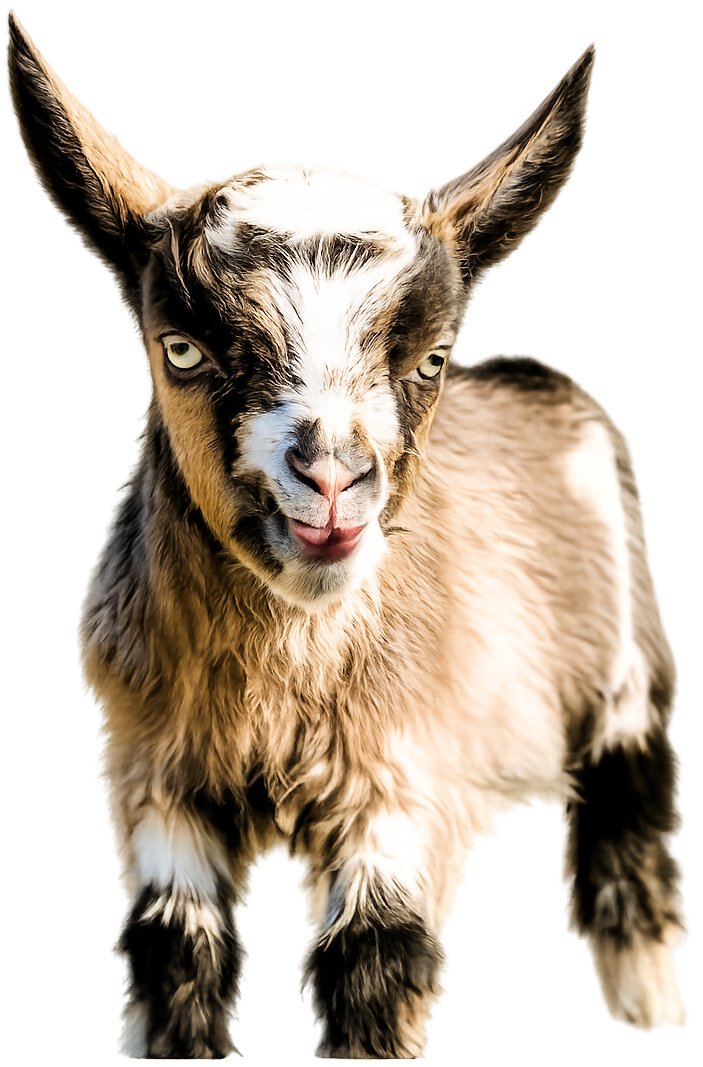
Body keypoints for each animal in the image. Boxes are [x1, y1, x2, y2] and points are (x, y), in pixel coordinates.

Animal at [9, 14, 683, 1060]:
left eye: (430, 359)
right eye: (182, 348)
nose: (330, 481)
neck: (275, 705)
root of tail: (539, 377)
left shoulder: (399, 777)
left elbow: (373, 961)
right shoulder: (159, 780)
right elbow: (175, 956)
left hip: (617, 638)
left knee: (630, 749)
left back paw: (644, 985)